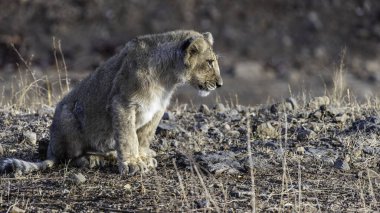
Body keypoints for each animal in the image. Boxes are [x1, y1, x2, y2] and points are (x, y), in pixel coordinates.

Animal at [0, 30, 223, 176]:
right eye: (210, 62)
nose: (220, 84)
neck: (167, 78)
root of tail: (50, 150)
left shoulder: (157, 109)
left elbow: (143, 136)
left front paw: (143, 157)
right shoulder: (122, 103)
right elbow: (127, 136)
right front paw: (133, 163)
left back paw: (110, 155)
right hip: (67, 116)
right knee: (67, 158)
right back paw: (92, 159)